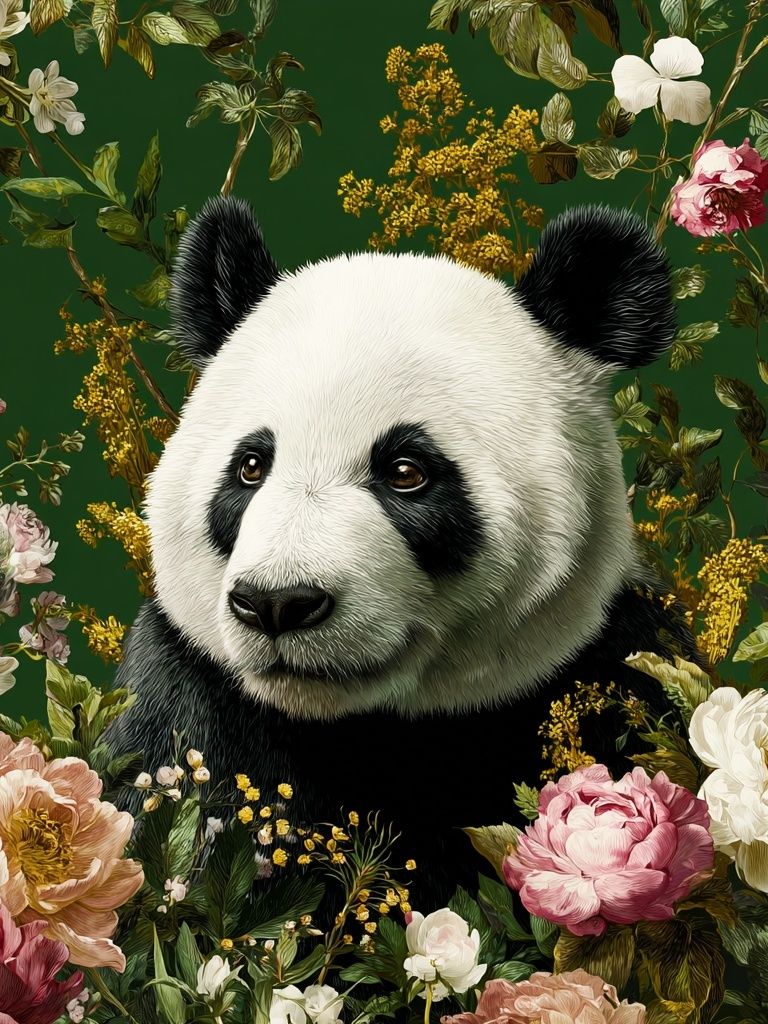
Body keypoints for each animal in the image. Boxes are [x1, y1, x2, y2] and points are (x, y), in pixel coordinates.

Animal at [109, 196, 695, 900]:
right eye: (250, 466)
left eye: (406, 471)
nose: (278, 603)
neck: (367, 728)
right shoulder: (187, 704)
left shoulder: (616, 678)